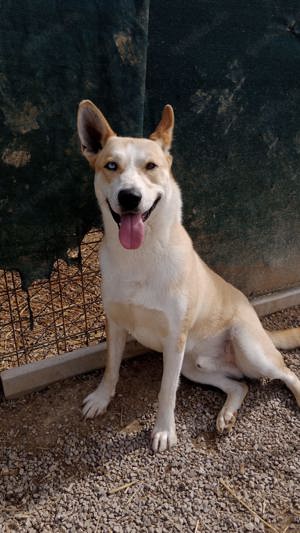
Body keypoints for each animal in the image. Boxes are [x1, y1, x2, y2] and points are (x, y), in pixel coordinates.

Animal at [78, 98, 300, 448]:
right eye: (111, 166)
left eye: (151, 166)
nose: (130, 197)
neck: (140, 257)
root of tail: (259, 326)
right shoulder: (115, 323)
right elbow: (111, 368)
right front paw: (102, 398)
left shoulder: (174, 340)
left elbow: (166, 391)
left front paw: (164, 431)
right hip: (195, 368)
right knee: (240, 385)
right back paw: (226, 415)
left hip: (249, 349)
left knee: (288, 372)